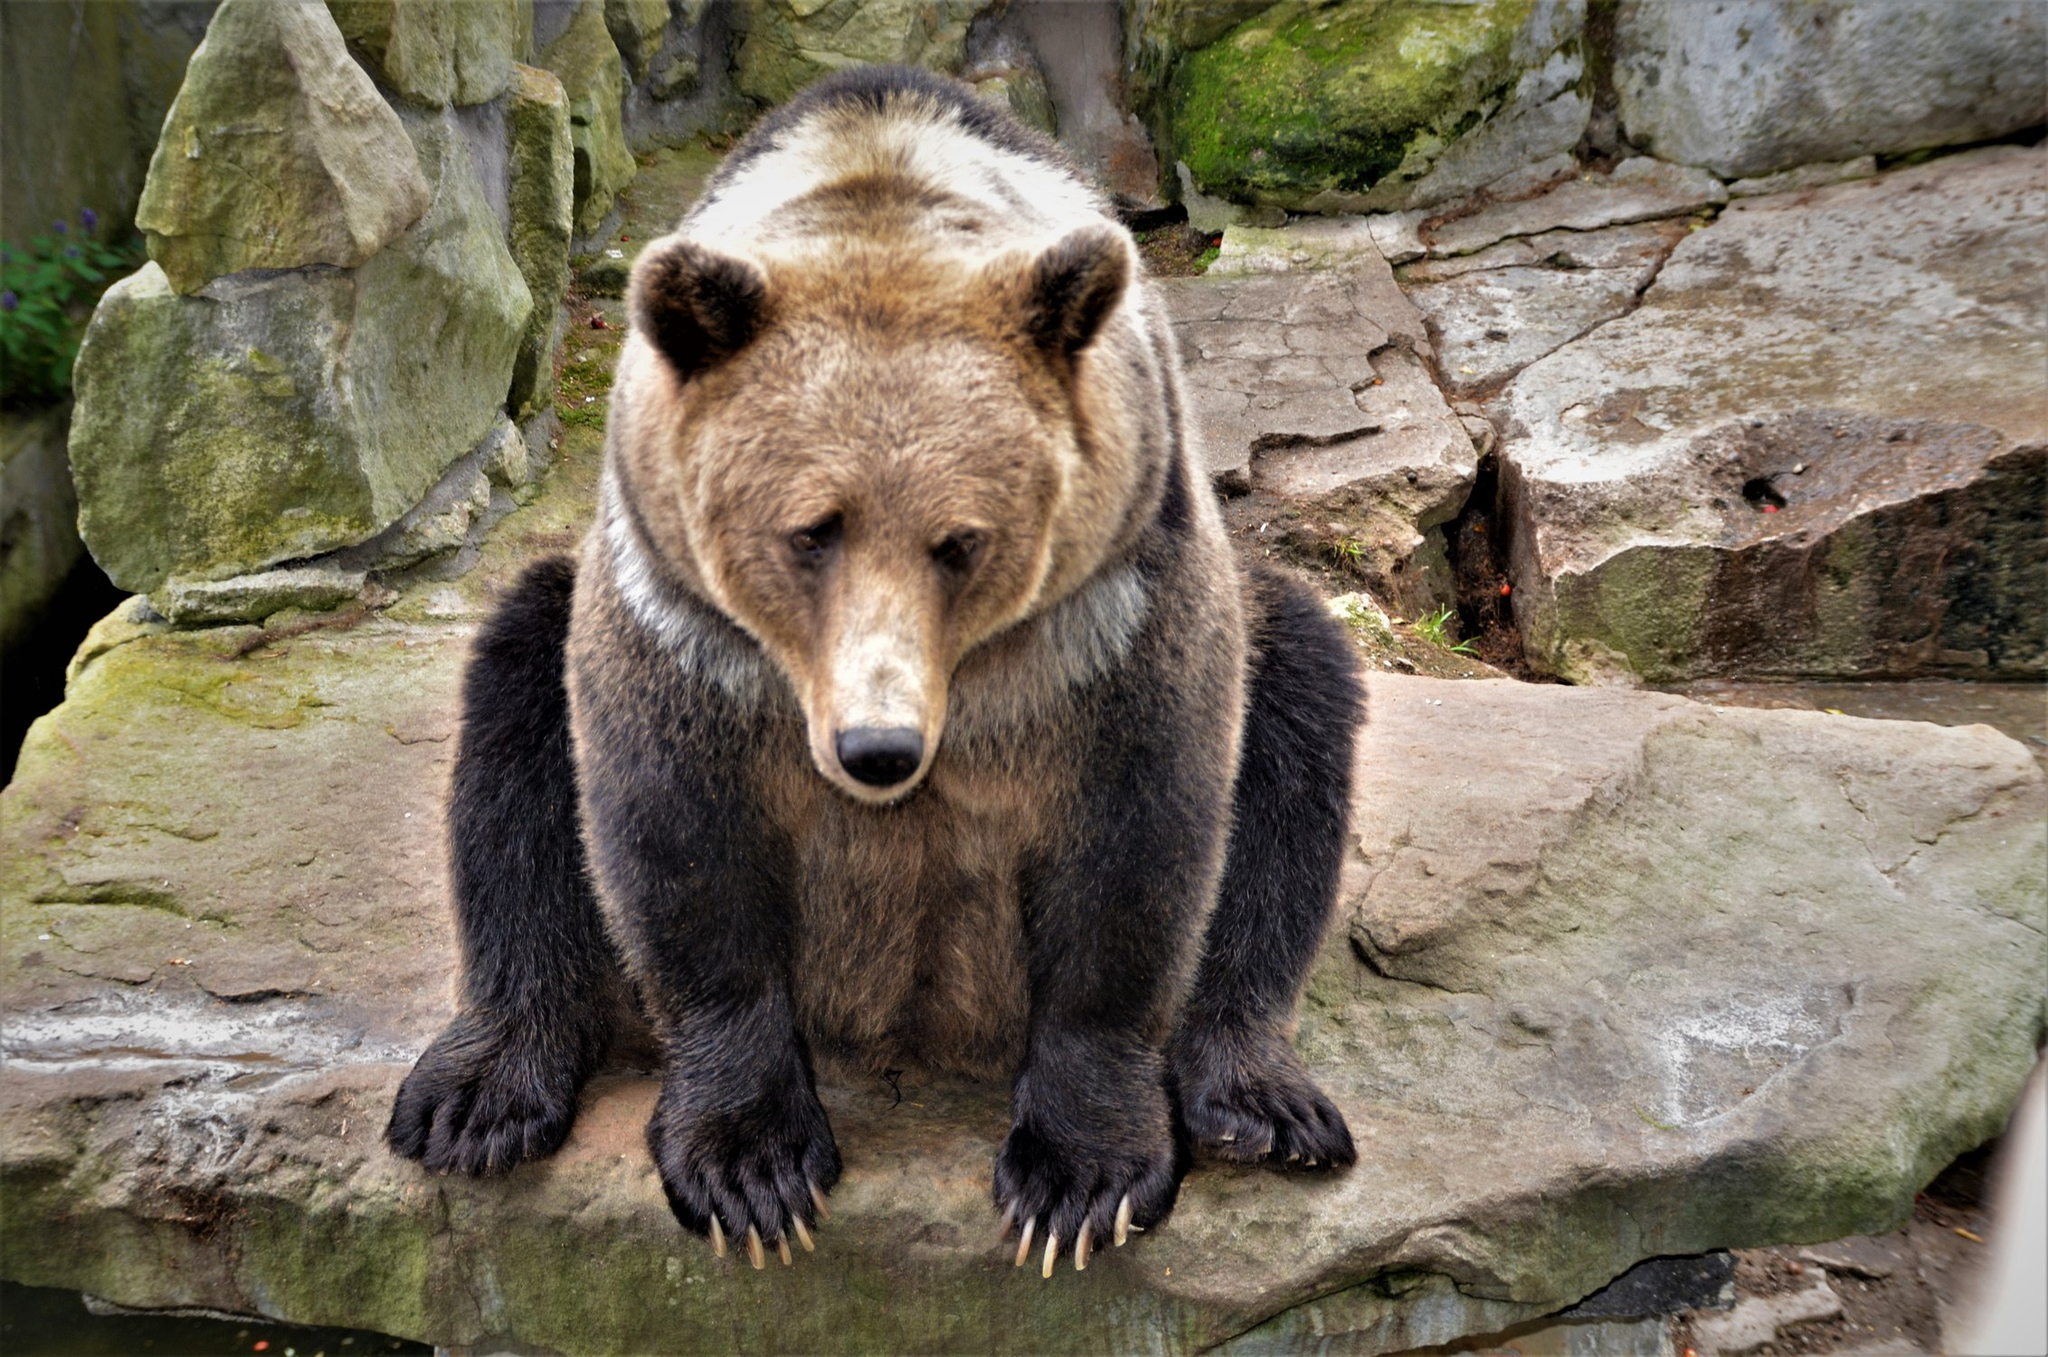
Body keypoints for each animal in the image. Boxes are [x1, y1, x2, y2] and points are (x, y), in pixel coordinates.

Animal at [391, 61, 1368, 1277]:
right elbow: (677, 843)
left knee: (1296, 721)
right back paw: (478, 1095)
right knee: (513, 744)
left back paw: (1259, 1104)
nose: (878, 749)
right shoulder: (690, 631)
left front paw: (1078, 1179)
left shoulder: (1113, 608)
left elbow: (1139, 847)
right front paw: (750, 1168)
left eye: (961, 541)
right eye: (811, 530)